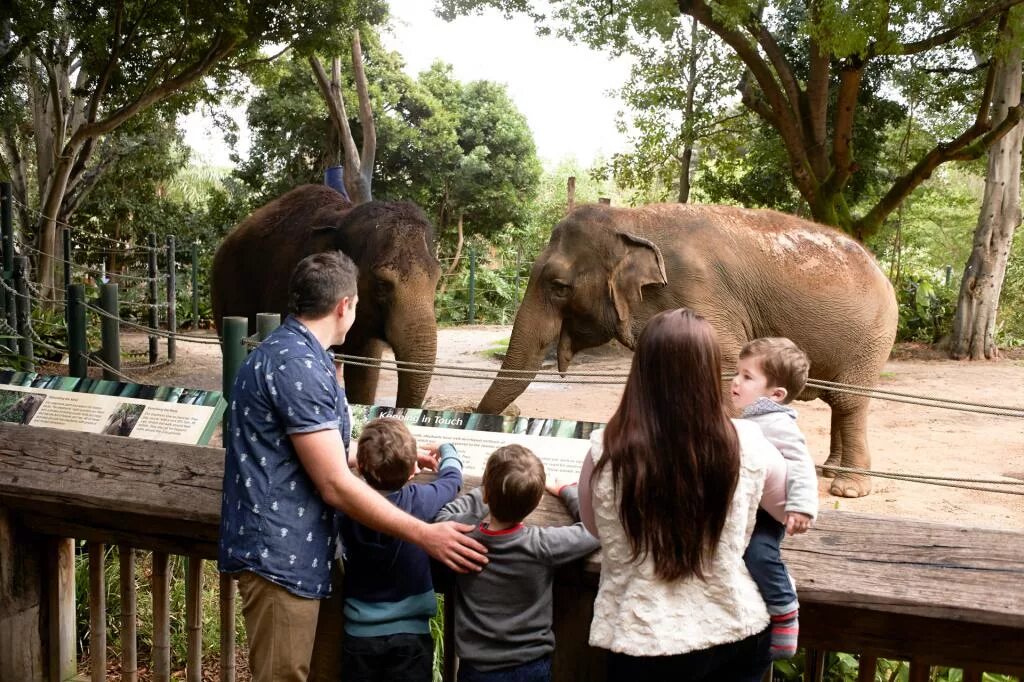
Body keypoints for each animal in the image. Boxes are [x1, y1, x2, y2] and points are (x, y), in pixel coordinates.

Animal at [479, 200, 897, 493]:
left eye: (558, 286)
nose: (514, 413)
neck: (630, 220)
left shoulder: (698, 295)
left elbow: (725, 370)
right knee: (839, 402)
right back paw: (829, 470)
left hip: (872, 335)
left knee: (848, 401)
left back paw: (847, 488)